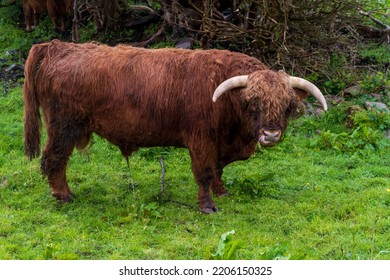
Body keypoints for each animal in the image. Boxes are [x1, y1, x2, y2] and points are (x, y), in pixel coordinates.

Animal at [22, 39, 328, 213]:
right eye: (253, 102)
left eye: (287, 105)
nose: (271, 134)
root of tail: (59, 46)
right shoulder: (200, 138)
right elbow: (204, 172)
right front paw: (207, 206)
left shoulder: (219, 143)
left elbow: (218, 168)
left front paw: (222, 192)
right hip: (64, 126)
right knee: (53, 159)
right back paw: (64, 196)